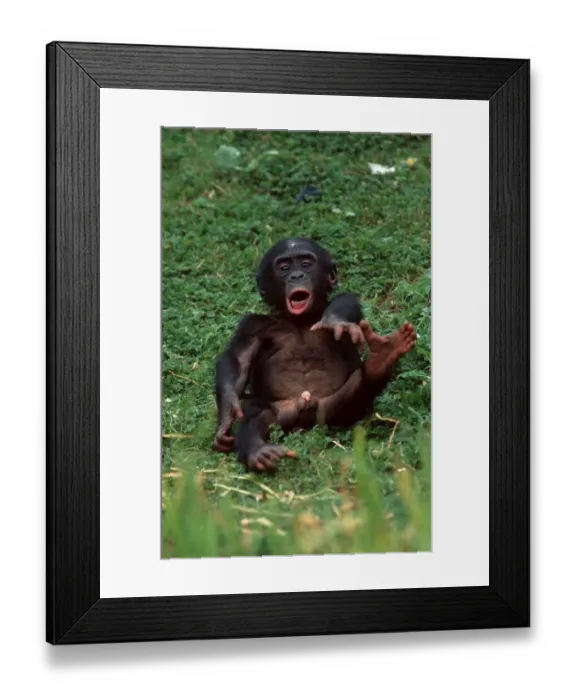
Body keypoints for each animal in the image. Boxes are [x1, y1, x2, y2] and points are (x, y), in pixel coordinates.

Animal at [213, 237, 416, 472]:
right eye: (284, 268)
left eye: (306, 264)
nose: (296, 276)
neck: (300, 320)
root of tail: (304, 420)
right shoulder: (252, 326)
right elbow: (239, 359)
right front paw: (227, 416)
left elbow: (345, 302)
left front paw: (334, 320)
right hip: (280, 412)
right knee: (253, 415)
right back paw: (258, 451)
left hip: (334, 411)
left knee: (358, 388)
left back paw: (380, 359)